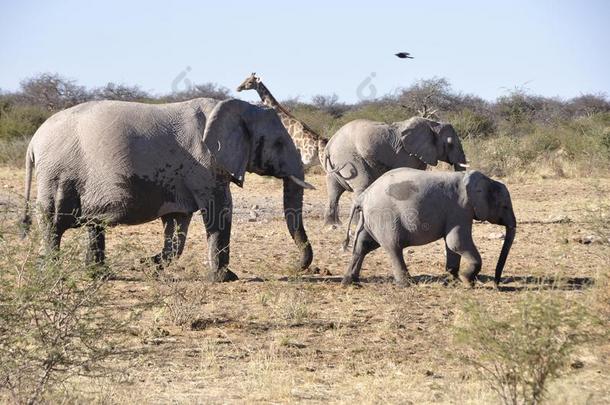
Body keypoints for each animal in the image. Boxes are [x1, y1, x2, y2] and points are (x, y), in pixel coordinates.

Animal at [21, 98, 314, 280]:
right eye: (278, 143)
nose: (296, 267)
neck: (232, 106)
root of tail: (32, 143)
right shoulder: (205, 165)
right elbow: (219, 211)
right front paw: (225, 279)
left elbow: (177, 226)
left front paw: (149, 265)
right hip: (58, 174)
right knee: (54, 223)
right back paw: (53, 274)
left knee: (94, 222)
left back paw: (100, 276)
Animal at [324, 116, 466, 224]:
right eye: (450, 143)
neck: (431, 123)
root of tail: (330, 144)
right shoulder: (406, 154)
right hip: (349, 157)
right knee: (362, 184)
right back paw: (357, 222)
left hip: (337, 162)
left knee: (334, 189)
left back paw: (333, 224)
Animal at [342, 167, 512, 288]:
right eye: (504, 206)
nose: (497, 284)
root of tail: (363, 196)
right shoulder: (460, 209)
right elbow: (456, 242)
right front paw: (467, 282)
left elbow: (452, 245)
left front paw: (452, 279)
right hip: (384, 217)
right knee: (393, 247)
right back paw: (406, 284)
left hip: (370, 219)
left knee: (363, 245)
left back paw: (350, 282)